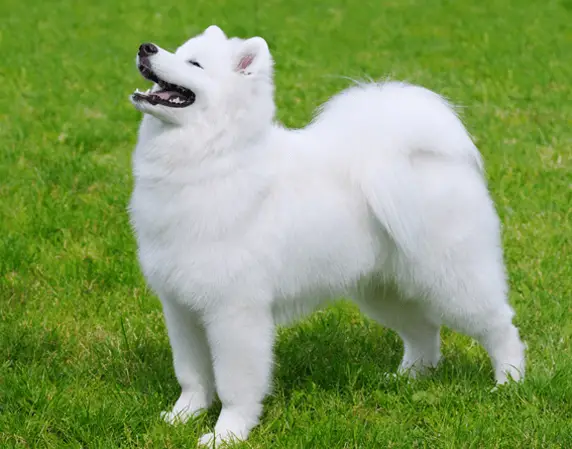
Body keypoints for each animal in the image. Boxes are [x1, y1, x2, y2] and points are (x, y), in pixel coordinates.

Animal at [127, 26, 524, 446]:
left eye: (195, 63)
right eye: (177, 50)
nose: (146, 48)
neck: (210, 159)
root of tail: (429, 157)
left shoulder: (233, 312)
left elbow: (235, 384)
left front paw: (227, 433)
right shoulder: (181, 308)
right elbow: (192, 375)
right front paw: (181, 417)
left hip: (454, 280)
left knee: (500, 325)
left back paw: (509, 381)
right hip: (383, 290)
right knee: (423, 332)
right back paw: (408, 378)